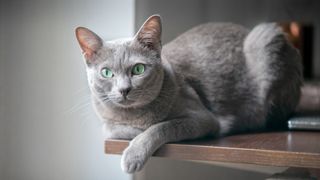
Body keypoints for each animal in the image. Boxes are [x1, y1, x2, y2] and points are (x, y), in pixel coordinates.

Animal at [75, 15, 302, 173]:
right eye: (106, 73)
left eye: (138, 69)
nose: (124, 89)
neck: (134, 115)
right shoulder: (108, 121)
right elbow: (110, 129)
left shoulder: (204, 119)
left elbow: (161, 127)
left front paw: (133, 154)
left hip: (266, 39)